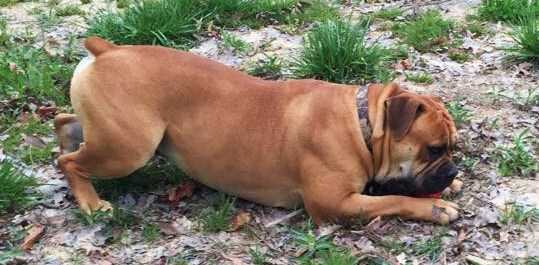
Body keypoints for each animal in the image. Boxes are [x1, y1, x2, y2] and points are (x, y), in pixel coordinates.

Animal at [54, 36, 462, 223]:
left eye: (451, 148)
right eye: (433, 148)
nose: (451, 169)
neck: (362, 122)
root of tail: (107, 49)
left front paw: (452, 185)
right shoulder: (334, 204)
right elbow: (392, 200)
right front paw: (436, 207)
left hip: (110, 134)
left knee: (65, 127)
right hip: (129, 149)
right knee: (70, 163)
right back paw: (91, 203)